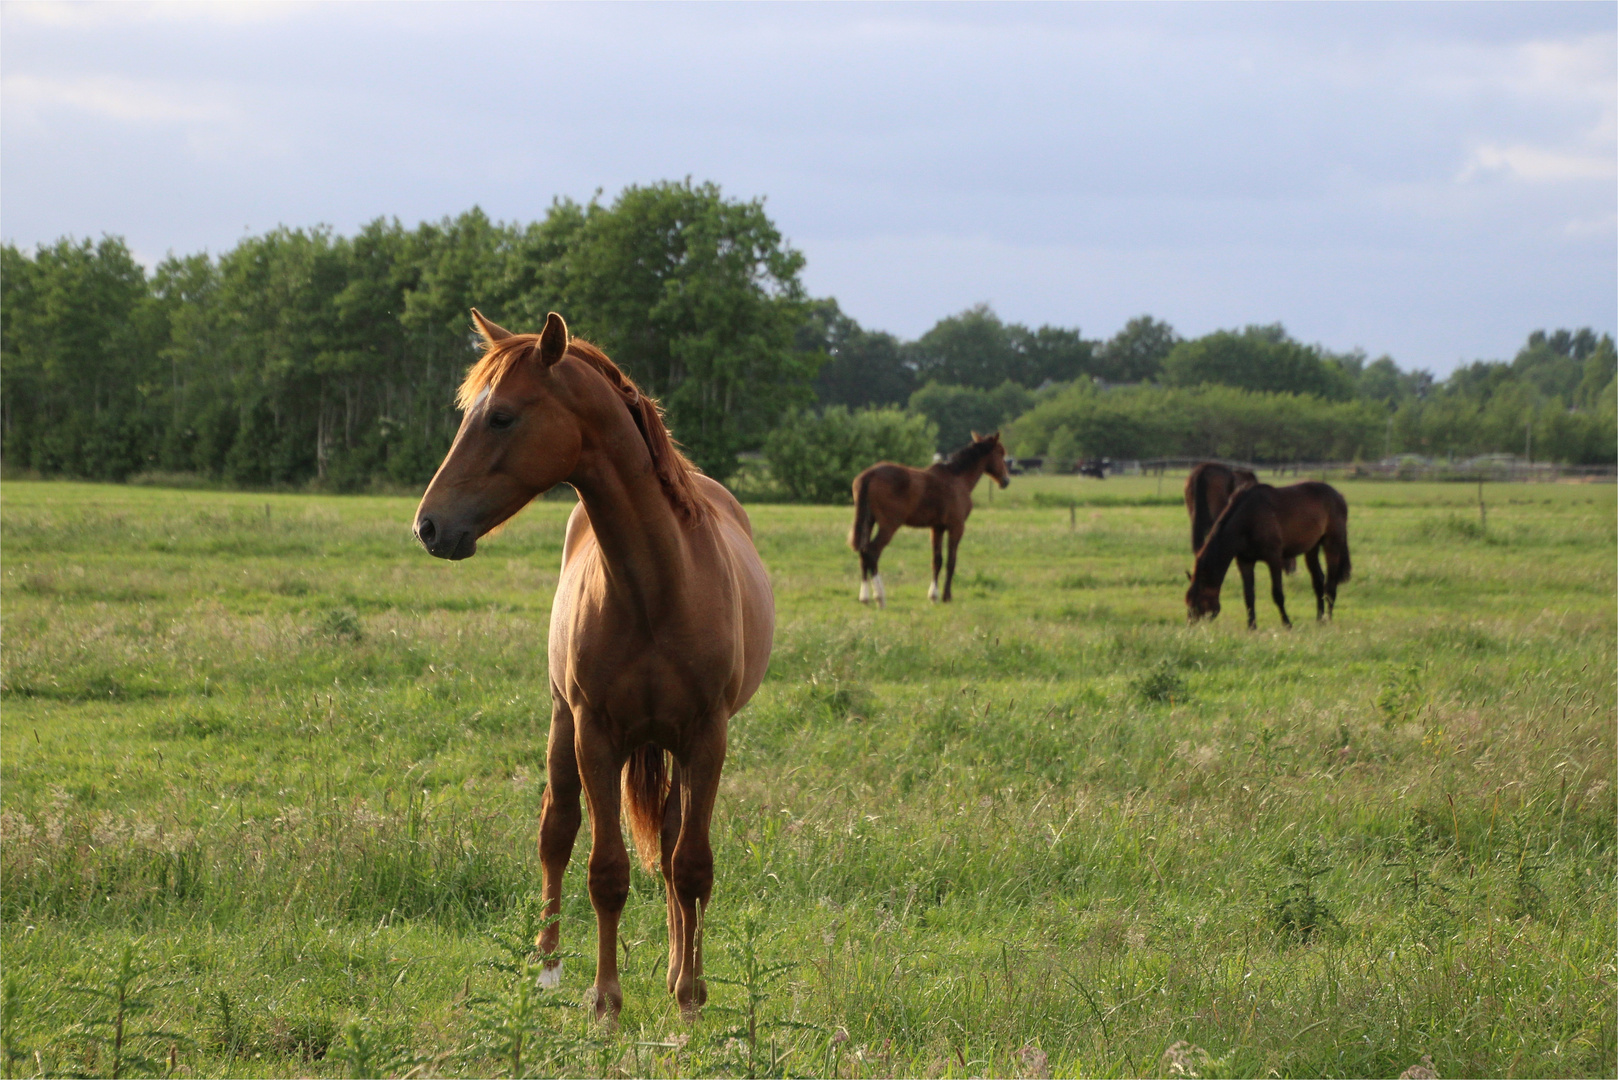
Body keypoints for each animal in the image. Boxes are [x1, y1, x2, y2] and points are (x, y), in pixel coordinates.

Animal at [414, 307, 773, 1016]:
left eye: (502, 417)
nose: (429, 526)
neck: (658, 585)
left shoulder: (707, 737)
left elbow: (691, 866)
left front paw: (690, 997)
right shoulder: (595, 732)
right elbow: (605, 869)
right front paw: (605, 1001)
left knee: (670, 846)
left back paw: (676, 967)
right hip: (563, 720)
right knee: (557, 829)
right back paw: (548, 966)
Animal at [847, 430, 1009, 605]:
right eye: (1000, 453)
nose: (1006, 481)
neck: (957, 479)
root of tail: (870, 474)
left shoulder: (937, 528)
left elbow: (937, 561)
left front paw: (934, 595)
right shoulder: (956, 527)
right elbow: (951, 561)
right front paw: (946, 596)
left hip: (868, 522)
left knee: (863, 552)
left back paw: (864, 597)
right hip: (888, 525)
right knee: (872, 552)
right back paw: (880, 596)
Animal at [1190, 479, 1352, 625]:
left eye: (1197, 603)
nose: (1191, 624)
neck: (1248, 519)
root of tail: (1339, 496)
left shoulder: (1274, 559)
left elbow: (1277, 594)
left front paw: (1287, 623)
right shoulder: (1245, 561)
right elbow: (1249, 595)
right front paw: (1252, 626)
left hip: (1332, 544)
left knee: (1330, 584)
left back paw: (1327, 619)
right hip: (1312, 547)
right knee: (1318, 581)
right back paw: (1319, 619)